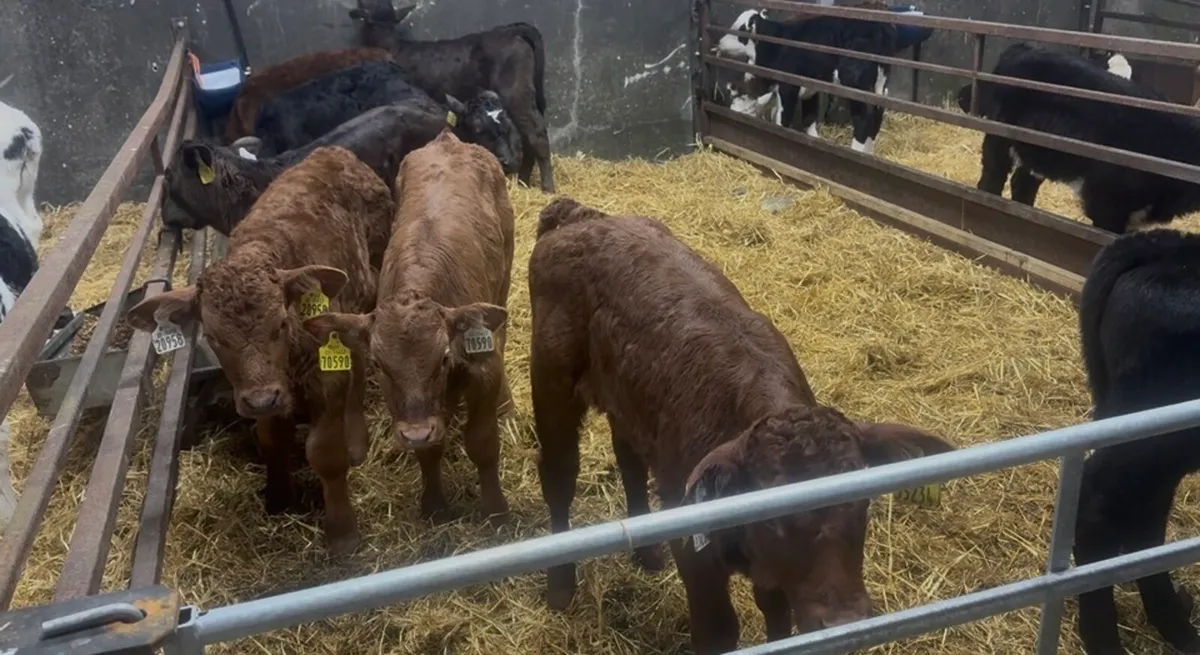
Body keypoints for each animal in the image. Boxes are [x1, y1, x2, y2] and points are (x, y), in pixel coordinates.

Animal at [125, 146, 395, 556]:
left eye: (280, 324)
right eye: (214, 337)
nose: (262, 399)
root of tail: (334, 153)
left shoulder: (326, 376)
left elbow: (324, 452)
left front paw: (343, 532)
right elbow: (270, 439)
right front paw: (278, 497)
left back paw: (357, 439)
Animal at [304, 131, 514, 525]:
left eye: (444, 357)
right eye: (378, 365)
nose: (417, 433)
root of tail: (449, 139)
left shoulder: (484, 366)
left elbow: (483, 444)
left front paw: (496, 509)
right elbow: (428, 453)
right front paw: (434, 504)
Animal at [527, 196, 954, 653]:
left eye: (863, 501)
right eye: (774, 519)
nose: (844, 621)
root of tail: (581, 216)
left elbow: (778, 616)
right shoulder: (695, 553)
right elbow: (719, 631)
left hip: (626, 402)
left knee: (629, 461)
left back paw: (647, 552)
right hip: (551, 384)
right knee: (559, 476)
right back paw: (560, 586)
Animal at [715, 8, 897, 153]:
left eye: (739, 31)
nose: (719, 42)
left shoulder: (788, 86)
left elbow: (782, 117)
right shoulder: (811, 85)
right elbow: (809, 116)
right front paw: (814, 141)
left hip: (855, 82)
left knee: (864, 115)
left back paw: (857, 151)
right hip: (880, 85)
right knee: (877, 113)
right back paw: (868, 153)